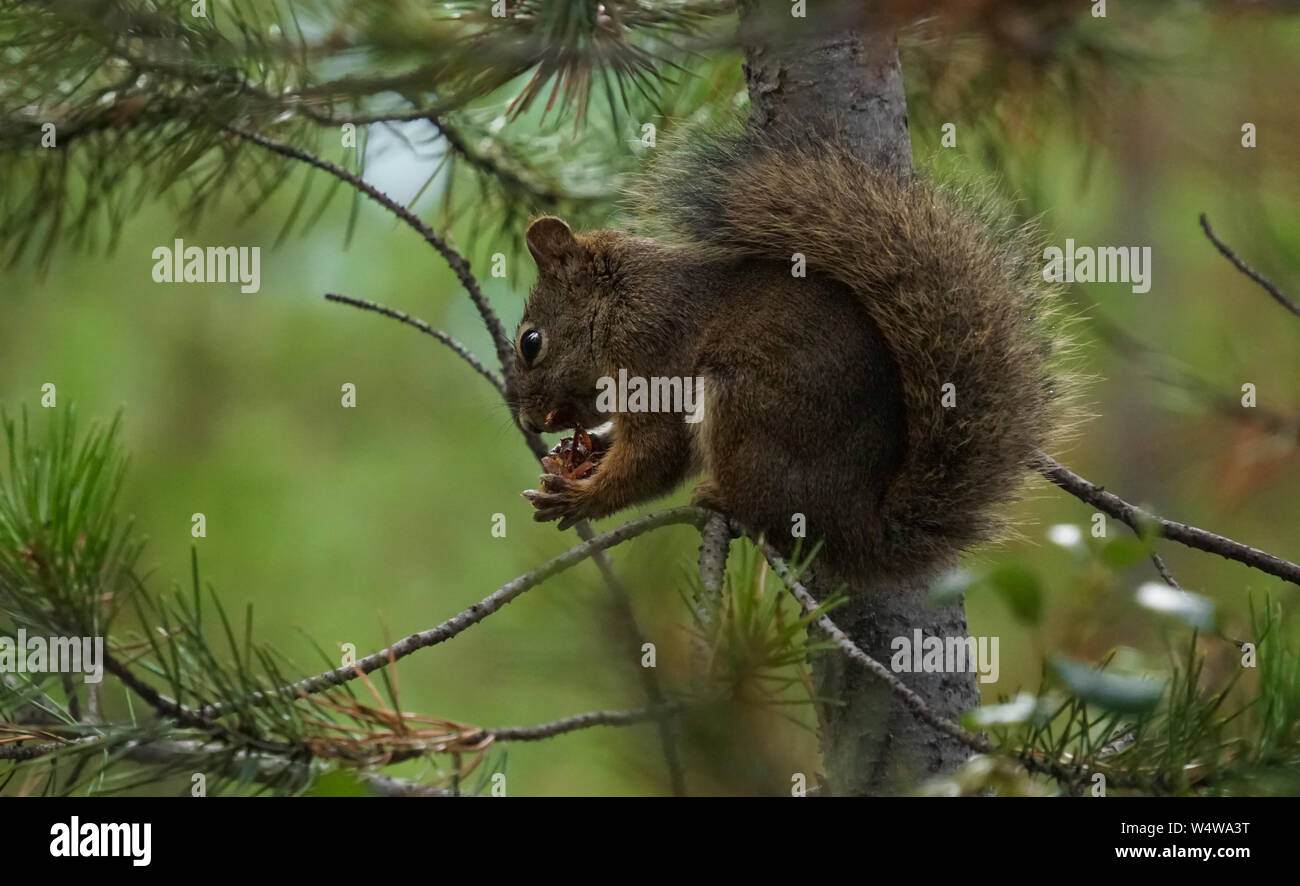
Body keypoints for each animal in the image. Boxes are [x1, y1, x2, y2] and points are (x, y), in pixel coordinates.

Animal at [516, 124, 1076, 583]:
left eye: (530, 343)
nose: (528, 422)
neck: (618, 303)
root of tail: (861, 528)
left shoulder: (652, 352)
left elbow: (658, 451)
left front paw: (581, 498)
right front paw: (579, 455)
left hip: (746, 407)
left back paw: (724, 499)